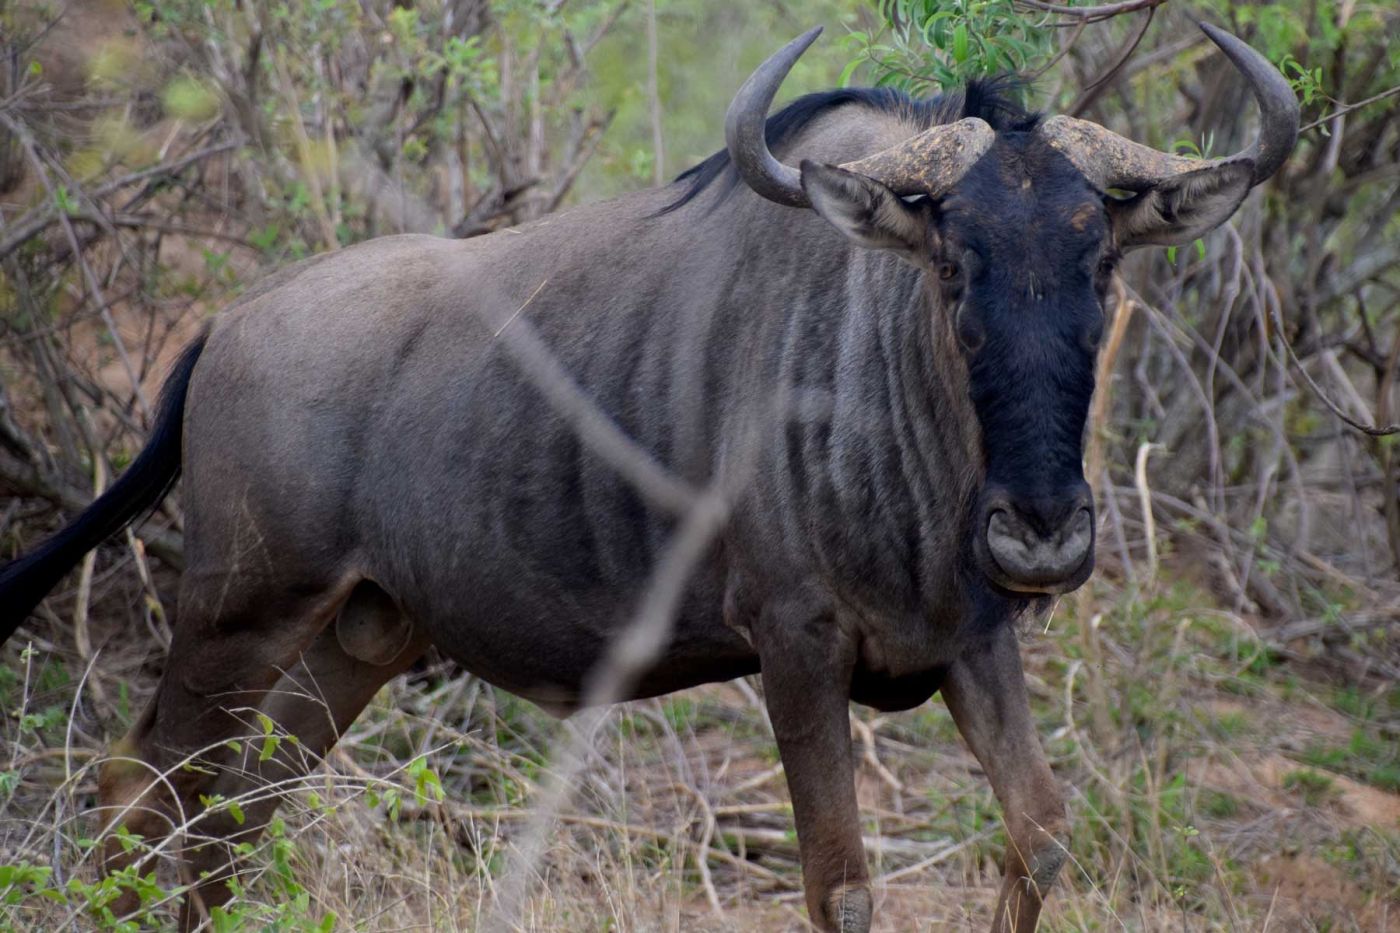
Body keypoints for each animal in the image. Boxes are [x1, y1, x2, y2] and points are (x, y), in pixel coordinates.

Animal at [0, 22, 1295, 932]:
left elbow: (1040, 838)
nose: (1039, 534)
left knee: (237, 805)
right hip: (240, 612)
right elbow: (842, 886)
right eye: (951, 262)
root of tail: (228, 323)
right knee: (140, 785)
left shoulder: (969, 643)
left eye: (1099, 259)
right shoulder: (796, 647)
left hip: (357, 635)